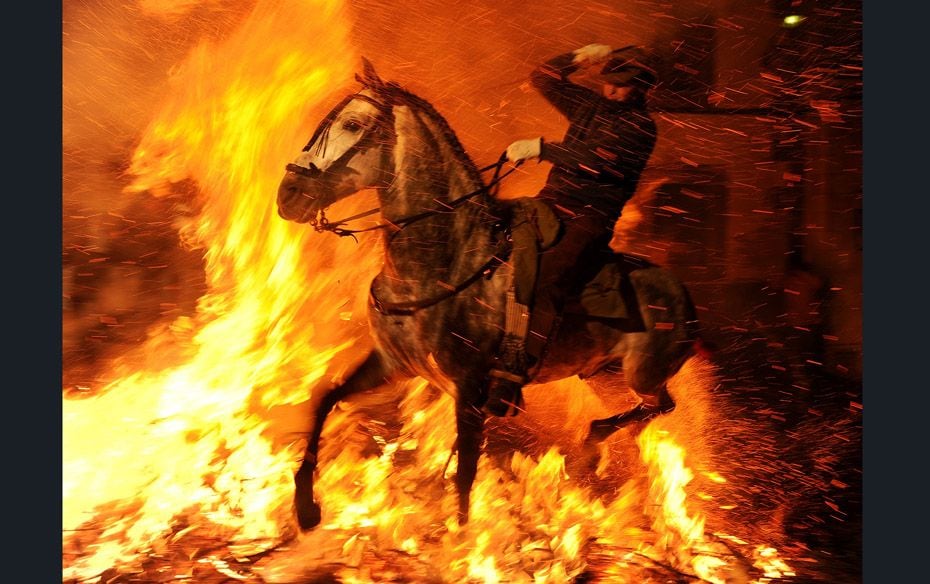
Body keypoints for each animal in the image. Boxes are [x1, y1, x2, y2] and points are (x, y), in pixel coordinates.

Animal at [274, 59, 696, 528]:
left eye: (352, 124)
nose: (289, 195)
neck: (444, 262)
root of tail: (683, 296)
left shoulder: (471, 390)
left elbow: (465, 476)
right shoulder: (391, 363)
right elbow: (323, 401)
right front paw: (306, 504)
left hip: (644, 374)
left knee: (663, 406)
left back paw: (595, 442)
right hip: (604, 376)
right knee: (651, 410)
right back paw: (596, 443)